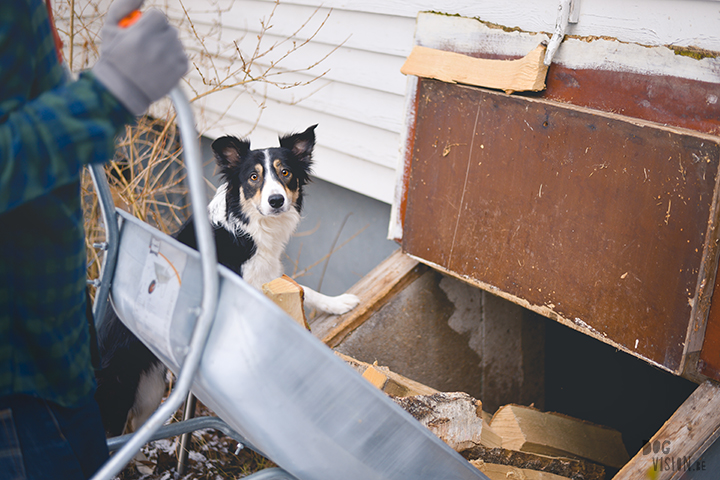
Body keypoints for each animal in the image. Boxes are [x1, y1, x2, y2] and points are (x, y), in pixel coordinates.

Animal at [94, 125, 358, 436]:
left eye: (285, 172)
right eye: (253, 177)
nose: (276, 201)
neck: (247, 228)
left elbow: (300, 287)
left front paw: (337, 303)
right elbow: (298, 288)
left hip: (150, 393)